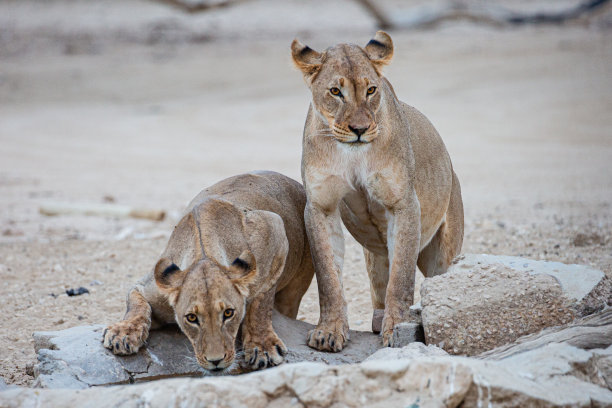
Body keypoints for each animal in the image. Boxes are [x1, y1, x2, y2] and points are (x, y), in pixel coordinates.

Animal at [103, 171, 314, 372]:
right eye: (192, 318)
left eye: (228, 313)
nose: (216, 361)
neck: (204, 251)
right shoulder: (151, 287)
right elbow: (136, 305)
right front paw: (123, 333)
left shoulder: (274, 228)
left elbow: (261, 300)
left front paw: (262, 346)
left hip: (294, 288)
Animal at [292, 31, 464, 350]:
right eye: (335, 91)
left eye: (371, 89)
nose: (360, 129)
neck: (353, 155)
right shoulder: (321, 205)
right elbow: (328, 277)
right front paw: (329, 330)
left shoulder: (403, 203)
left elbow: (402, 276)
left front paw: (397, 327)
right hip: (374, 258)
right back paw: (376, 320)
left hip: (443, 253)